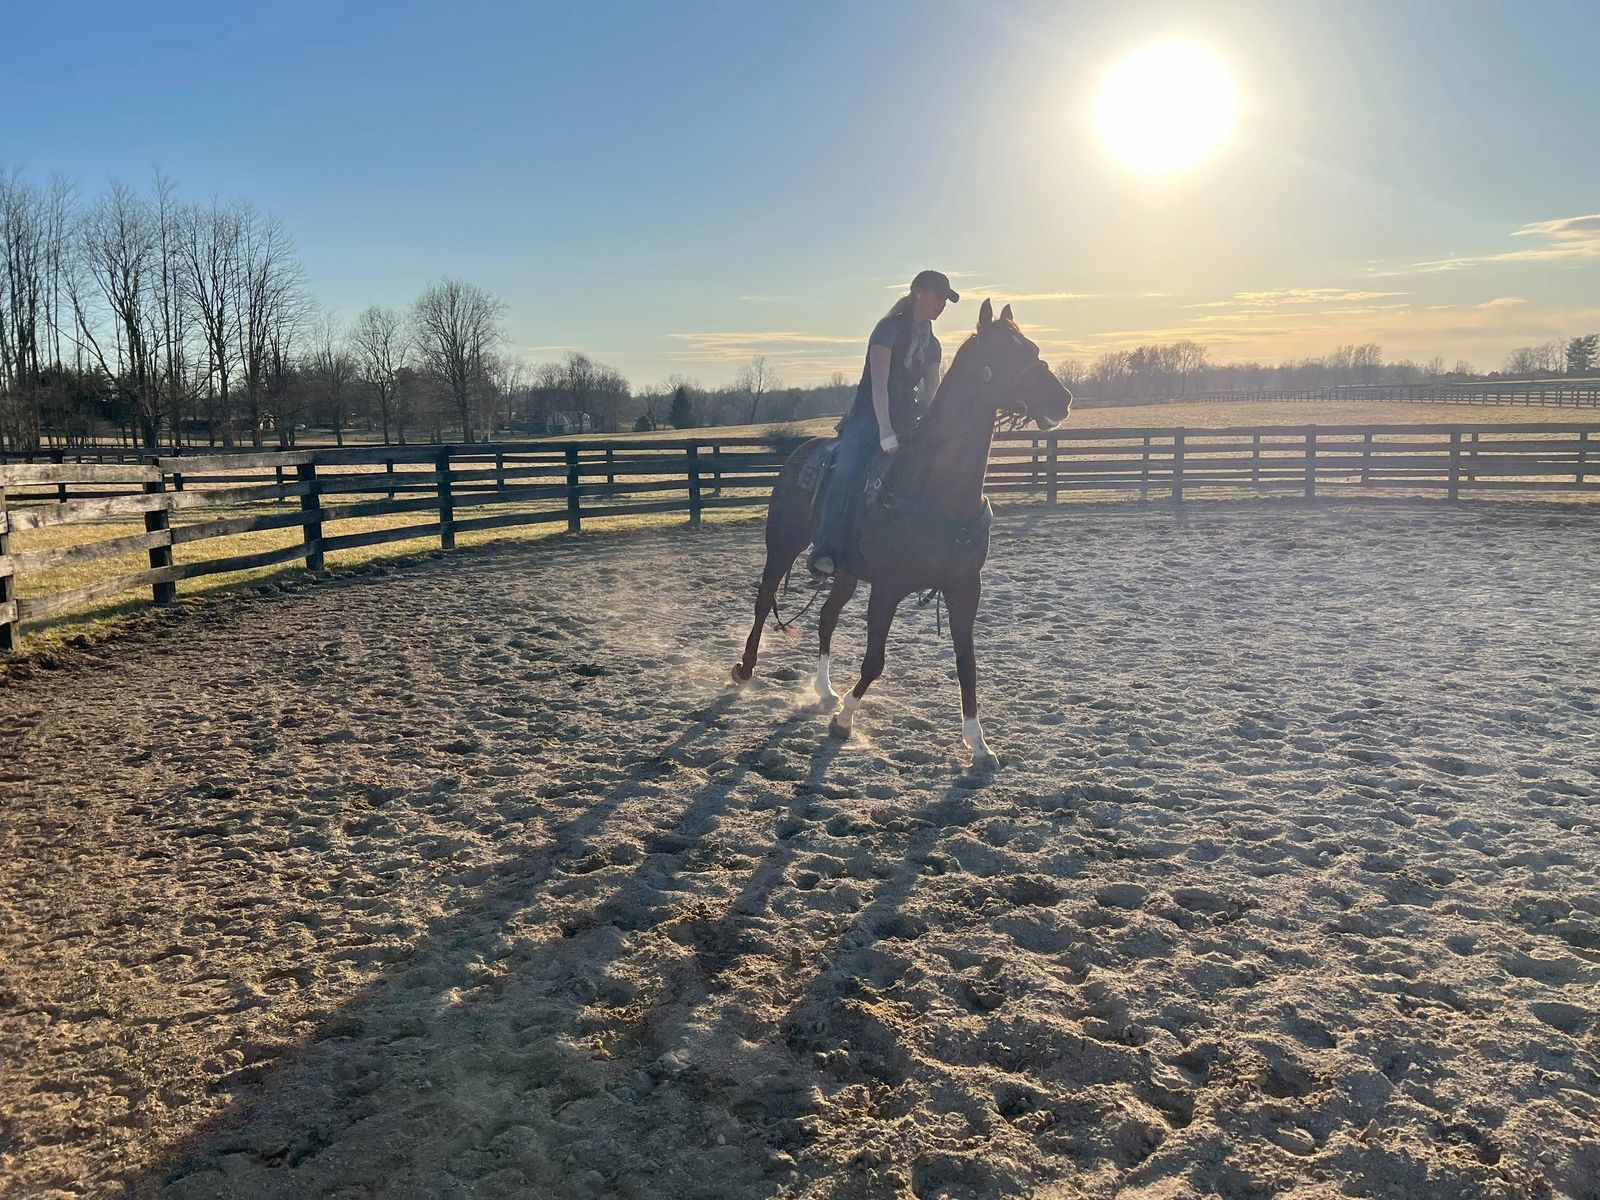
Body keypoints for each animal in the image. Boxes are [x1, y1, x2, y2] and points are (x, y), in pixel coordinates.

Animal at [729, 298, 1073, 763]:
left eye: (1033, 348)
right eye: (1003, 355)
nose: (1062, 399)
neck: (934, 490)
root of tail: (801, 452)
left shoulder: (965, 587)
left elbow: (967, 662)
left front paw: (978, 742)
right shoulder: (888, 587)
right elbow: (875, 660)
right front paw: (845, 721)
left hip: (846, 572)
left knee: (826, 616)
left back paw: (824, 690)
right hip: (783, 545)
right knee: (765, 601)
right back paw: (746, 669)